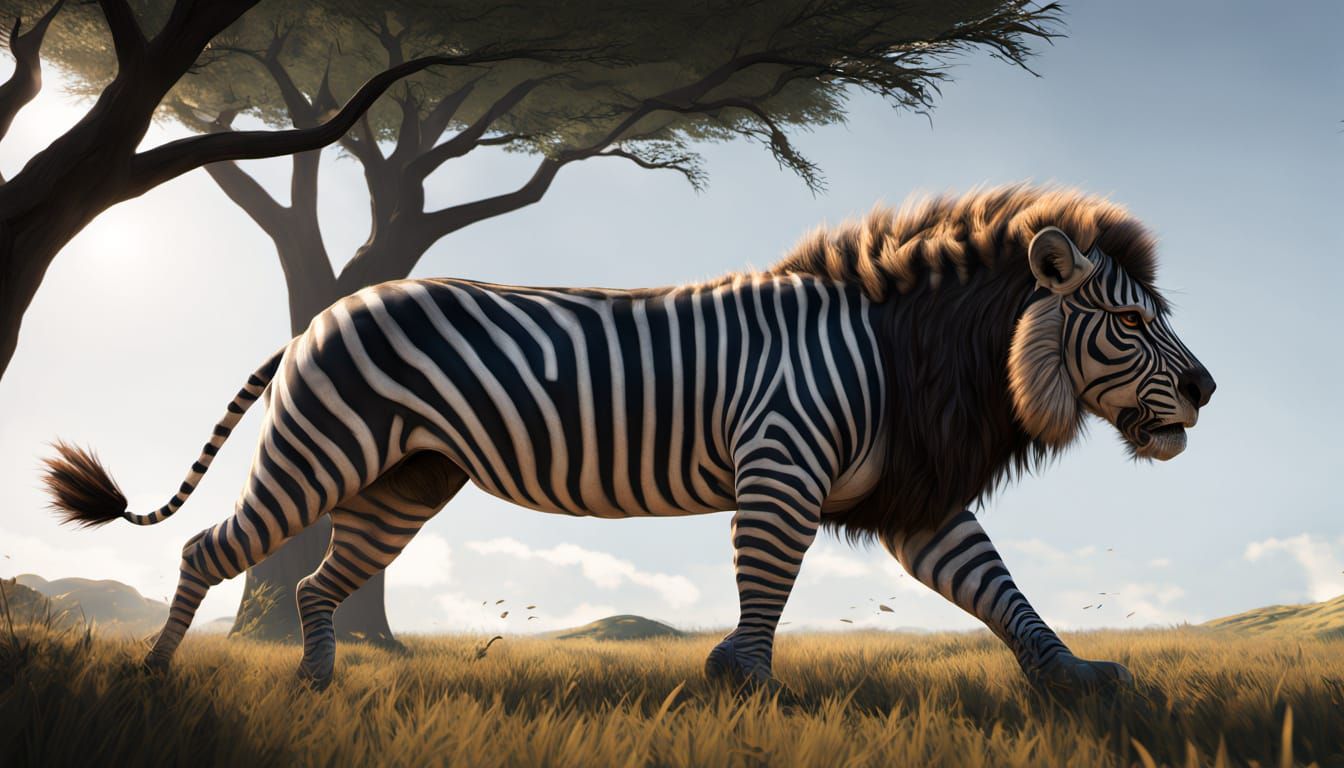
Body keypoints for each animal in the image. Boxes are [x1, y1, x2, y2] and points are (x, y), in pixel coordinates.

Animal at [43, 186, 1214, 696]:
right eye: (1128, 322)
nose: (1207, 389)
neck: (892, 353)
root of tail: (321, 316)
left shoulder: (910, 497)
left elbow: (1000, 591)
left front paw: (1077, 678)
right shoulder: (780, 465)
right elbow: (765, 589)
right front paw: (746, 694)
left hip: (404, 480)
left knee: (318, 585)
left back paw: (320, 689)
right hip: (321, 453)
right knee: (210, 549)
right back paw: (153, 676)